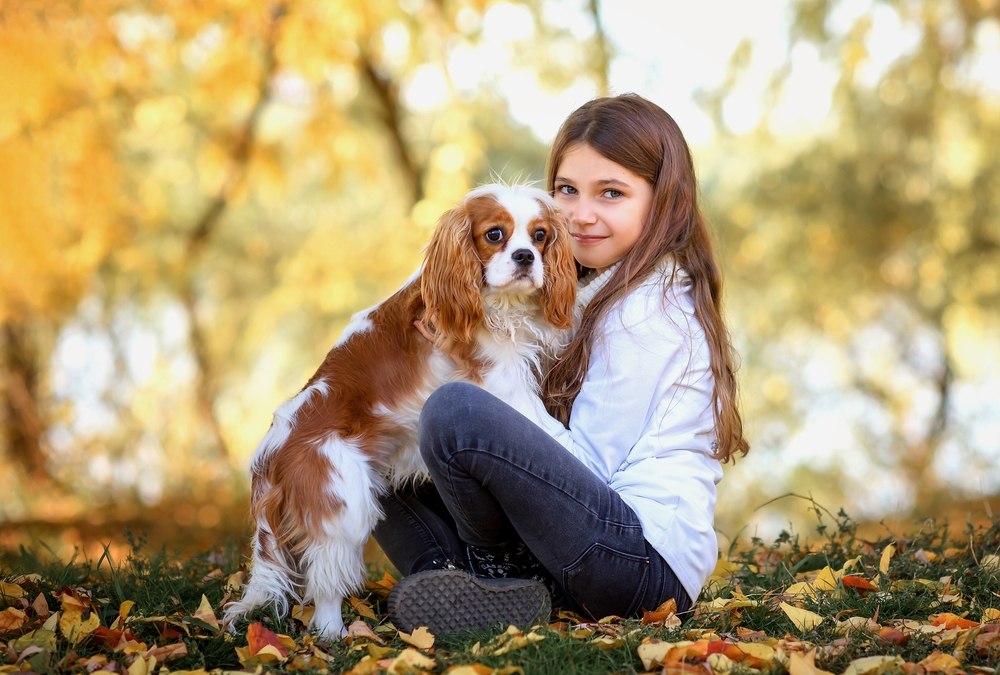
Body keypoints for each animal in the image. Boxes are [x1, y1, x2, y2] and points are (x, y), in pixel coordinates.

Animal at [222, 184, 576, 640]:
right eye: (494, 235)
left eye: (540, 236)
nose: (525, 257)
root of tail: (268, 457)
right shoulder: (502, 381)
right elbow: (548, 426)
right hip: (345, 504)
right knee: (325, 584)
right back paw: (336, 635)